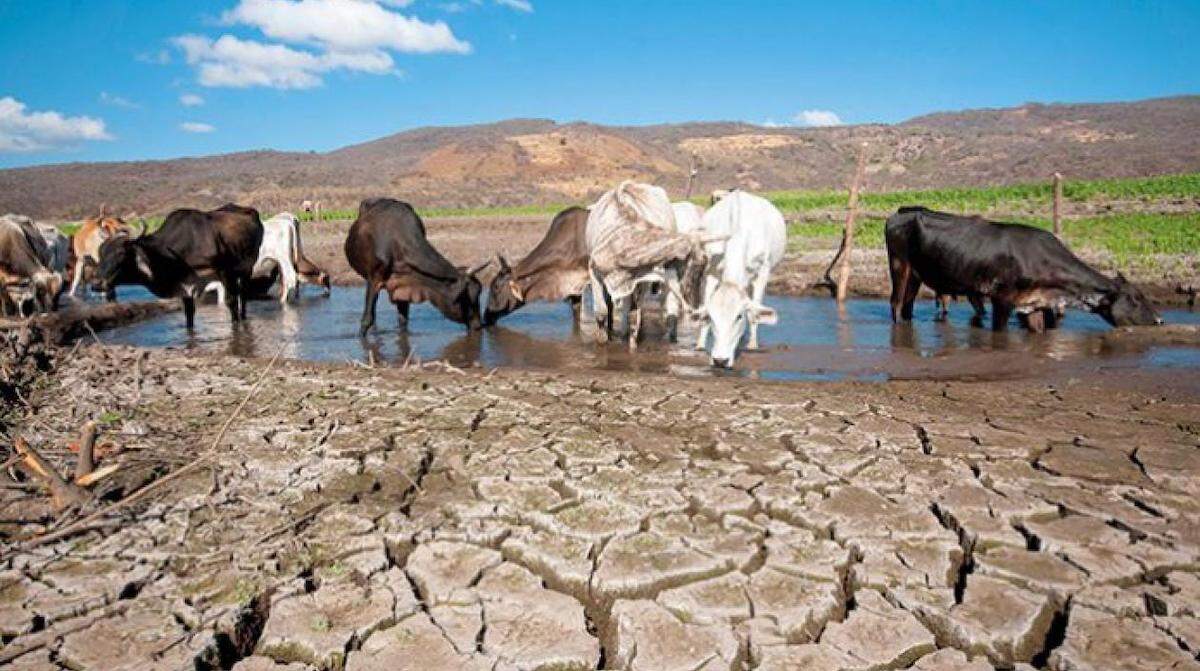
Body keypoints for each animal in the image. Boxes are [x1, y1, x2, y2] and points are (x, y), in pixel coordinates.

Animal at [94, 205, 265, 331]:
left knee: (242, 294)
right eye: (101, 252)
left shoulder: (225, 273)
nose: (96, 284)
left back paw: (243, 316)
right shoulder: (184, 285)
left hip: (247, 268)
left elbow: (231, 302)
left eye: (121, 253)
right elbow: (189, 311)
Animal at [345, 198, 489, 336]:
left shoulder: (403, 287)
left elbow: (403, 320)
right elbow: (367, 319)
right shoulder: (374, 279)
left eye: (478, 292)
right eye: (465, 298)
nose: (478, 325)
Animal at [583, 183, 715, 352]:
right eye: (695, 270)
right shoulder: (595, 272)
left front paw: (632, 348)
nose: (698, 309)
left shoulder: (641, 280)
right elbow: (601, 312)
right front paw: (602, 342)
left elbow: (634, 316)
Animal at [691, 189, 782, 367]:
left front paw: (752, 344)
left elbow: (753, 313)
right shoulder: (710, 271)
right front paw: (700, 343)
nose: (720, 360)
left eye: (739, 316)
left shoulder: (762, 272)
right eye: (711, 317)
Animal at [883, 205, 1161, 331]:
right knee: (895, 302)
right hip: (899, 265)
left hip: (916, 275)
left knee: (907, 305)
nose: (1159, 319)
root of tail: (902, 211)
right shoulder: (1002, 299)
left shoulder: (1033, 305)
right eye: (1135, 298)